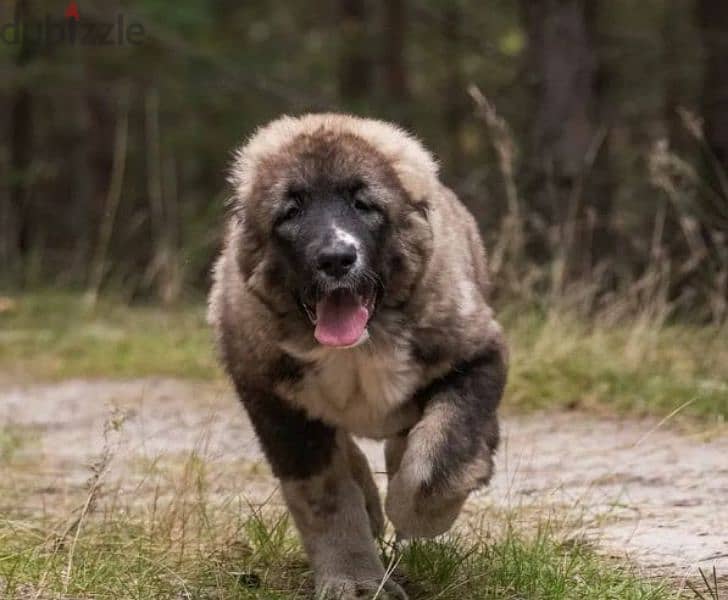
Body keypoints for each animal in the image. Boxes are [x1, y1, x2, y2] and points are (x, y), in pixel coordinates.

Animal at [208, 113, 510, 600]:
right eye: (290, 212)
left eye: (363, 203)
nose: (336, 258)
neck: (359, 348)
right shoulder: (272, 400)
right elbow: (324, 497)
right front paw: (354, 580)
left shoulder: (476, 358)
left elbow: (437, 459)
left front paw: (417, 514)